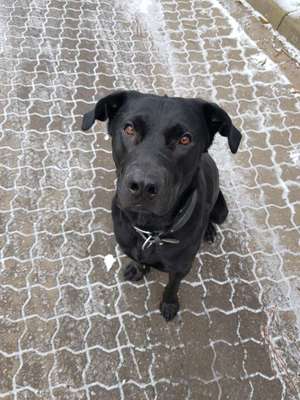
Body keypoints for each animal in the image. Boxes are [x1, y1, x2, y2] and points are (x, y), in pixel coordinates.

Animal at [82, 91, 241, 322]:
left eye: (185, 139)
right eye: (129, 129)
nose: (143, 186)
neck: (150, 231)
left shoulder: (181, 268)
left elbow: (172, 286)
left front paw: (169, 303)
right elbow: (137, 259)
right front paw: (138, 269)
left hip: (222, 210)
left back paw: (209, 230)